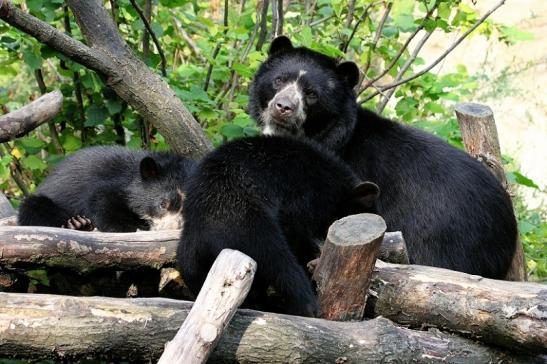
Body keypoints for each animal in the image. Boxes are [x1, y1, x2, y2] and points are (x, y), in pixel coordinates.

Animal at [18, 146, 196, 232]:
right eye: (162, 204)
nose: (175, 226)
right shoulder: (113, 185)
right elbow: (100, 200)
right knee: (34, 208)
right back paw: (78, 224)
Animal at [178, 135, 378, 318]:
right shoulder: (301, 198)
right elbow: (297, 235)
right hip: (247, 222)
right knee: (278, 260)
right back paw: (306, 305)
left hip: (192, 248)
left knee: (191, 270)